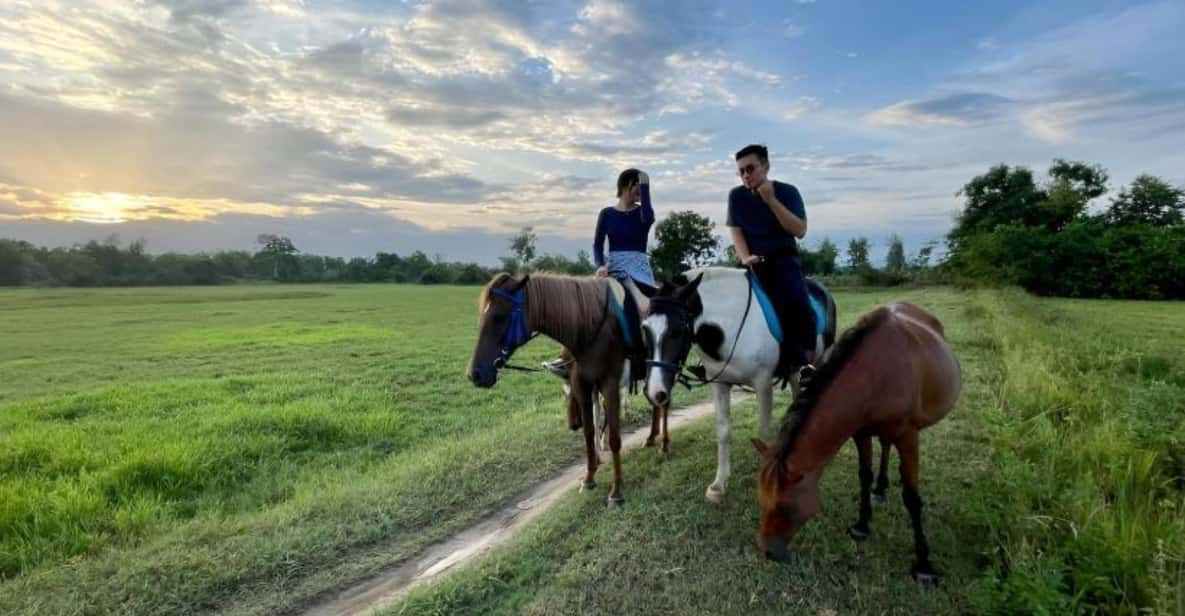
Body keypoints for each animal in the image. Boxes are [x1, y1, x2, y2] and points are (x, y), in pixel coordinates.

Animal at [466, 273, 644, 504]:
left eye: (499, 316)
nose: (475, 374)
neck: (590, 327)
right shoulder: (583, 386)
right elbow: (589, 432)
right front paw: (589, 479)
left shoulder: (610, 386)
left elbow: (614, 438)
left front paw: (616, 492)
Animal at [753, 303, 957, 582]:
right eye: (761, 499)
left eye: (785, 507)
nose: (767, 551)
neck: (876, 373)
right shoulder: (860, 433)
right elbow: (864, 476)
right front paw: (862, 525)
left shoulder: (908, 437)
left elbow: (912, 498)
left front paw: (924, 565)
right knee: (885, 446)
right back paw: (881, 487)